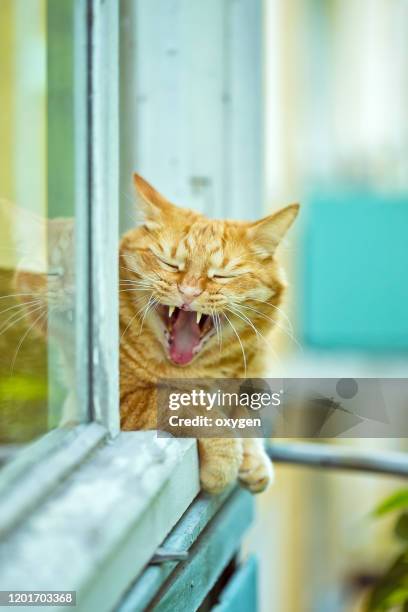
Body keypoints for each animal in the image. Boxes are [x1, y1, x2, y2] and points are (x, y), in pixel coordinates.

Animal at [119, 175, 298, 494]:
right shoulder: (126, 398)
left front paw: (253, 457)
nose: (189, 292)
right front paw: (226, 459)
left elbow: (244, 415)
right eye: (169, 263)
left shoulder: (251, 385)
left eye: (222, 276)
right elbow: (186, 402)